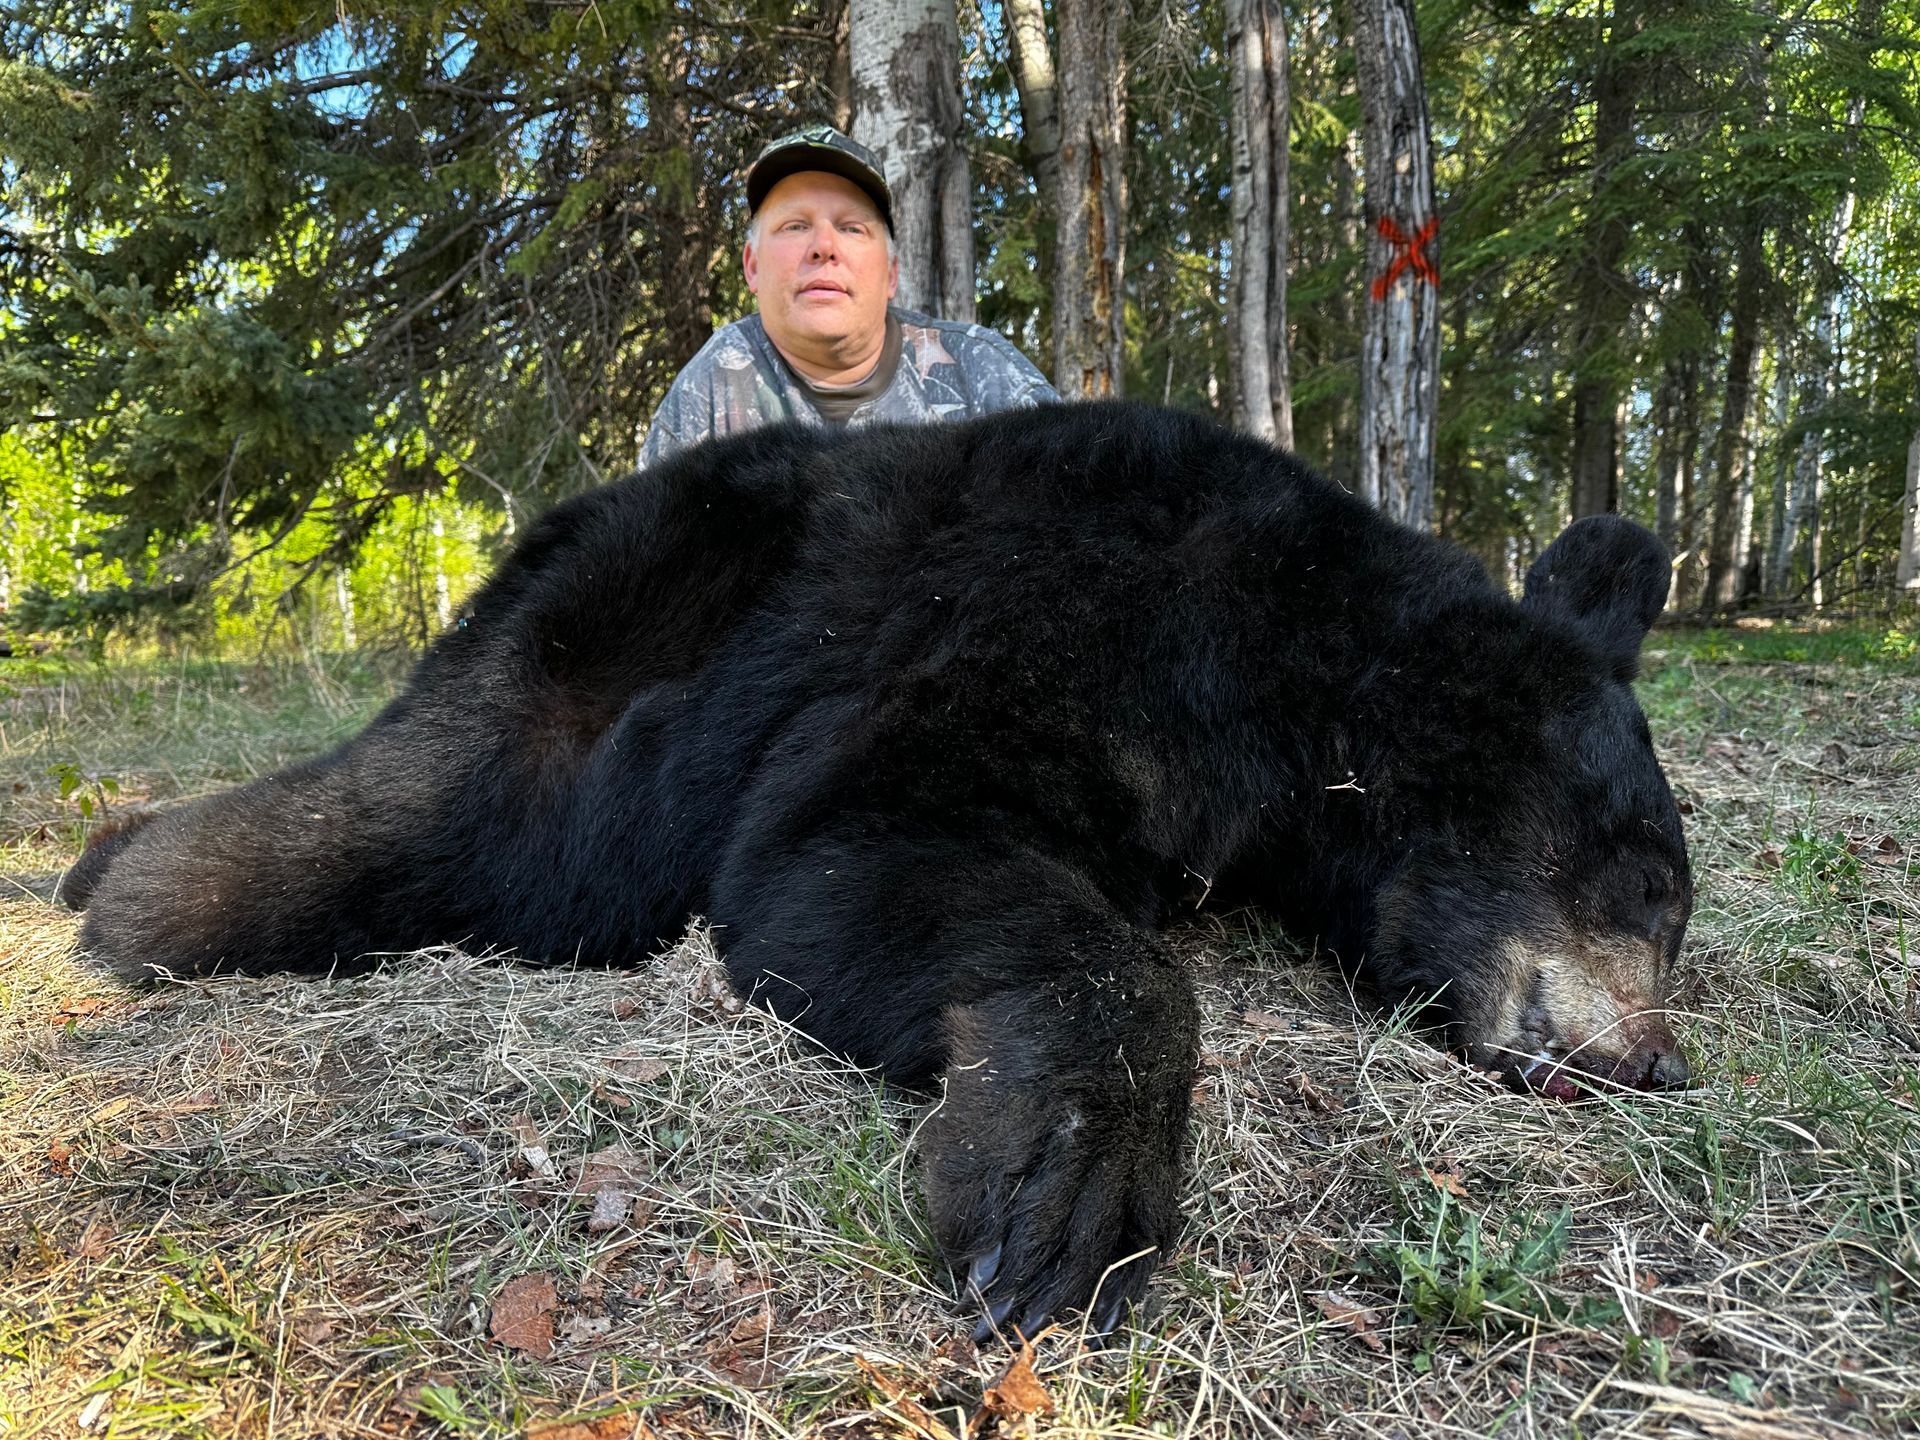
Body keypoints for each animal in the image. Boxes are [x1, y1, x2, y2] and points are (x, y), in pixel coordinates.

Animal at [64, 401, 1693, 1339]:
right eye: (1656, 888)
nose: (1654, 1064)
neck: (1295, 665)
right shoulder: (1037, 618)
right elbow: (848, 849)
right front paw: (1060, 1191)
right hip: (576, 695)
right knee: (355, 832)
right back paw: (104, 877)